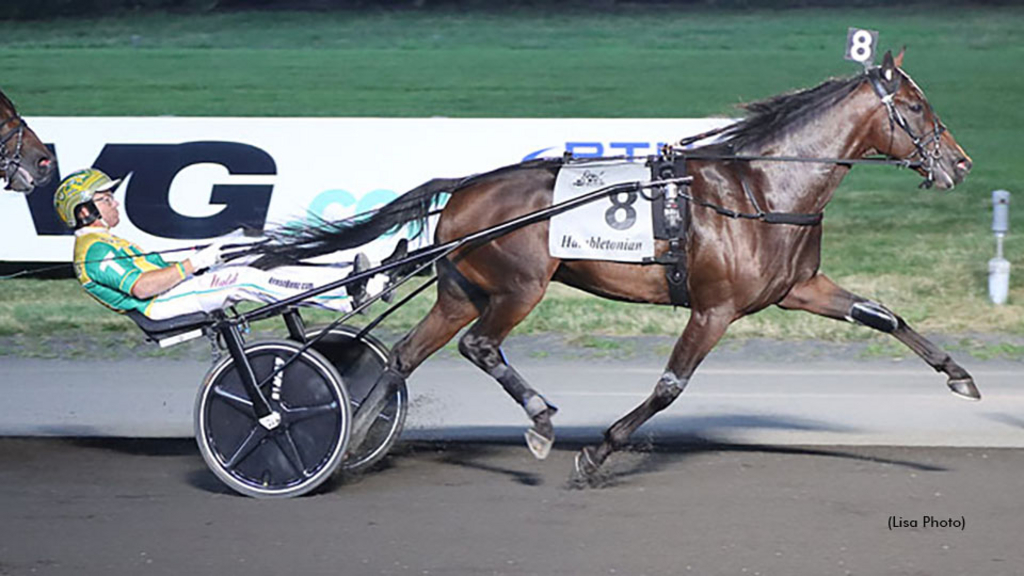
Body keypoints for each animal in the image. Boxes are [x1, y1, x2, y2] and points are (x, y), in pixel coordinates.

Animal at [249, 50, 974, 479]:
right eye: (915, 107)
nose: (961, 163)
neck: (760, 190)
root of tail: (465, 187)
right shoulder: (714, 308)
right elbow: (671, 386)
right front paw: (598, 451)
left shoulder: (799, 288)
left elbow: (884, 315)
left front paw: (960, 376)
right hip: (520, 286)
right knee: (480, 346)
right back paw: (539, 420)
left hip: (461, 288)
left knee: (403, 355)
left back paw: (350, 445)